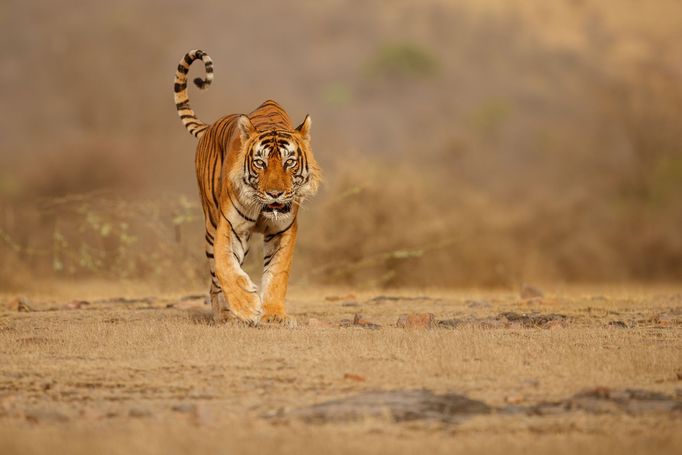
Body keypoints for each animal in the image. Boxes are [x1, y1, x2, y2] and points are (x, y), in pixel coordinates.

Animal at [170, 50, 318, 326]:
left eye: (289, 162)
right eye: (260, 163)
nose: (275, 194)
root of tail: (209, 127)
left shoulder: (284, 230)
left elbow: (277, 273)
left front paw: (274, 315)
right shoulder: (230, 226)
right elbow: (225, 266)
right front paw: (247, 306)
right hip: (210, 222)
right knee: (214, 277)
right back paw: (225, 315)